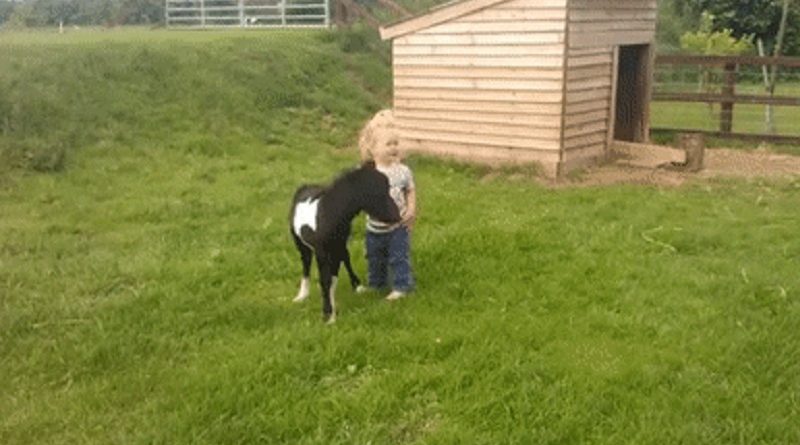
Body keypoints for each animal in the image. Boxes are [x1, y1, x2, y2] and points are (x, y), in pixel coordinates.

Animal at [290, 161, 400, 320]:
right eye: (376, 192)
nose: (397, 216)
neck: (330, 213)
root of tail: (304, 188)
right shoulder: (322, 251)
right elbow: (326, 279)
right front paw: (328, 315)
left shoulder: (337, 245)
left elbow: (333, 277)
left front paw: (332, 310)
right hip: (300, 243)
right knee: (306, 261)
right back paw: (302, 295)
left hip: (340, 246)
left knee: (345, 258)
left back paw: (357, 286)